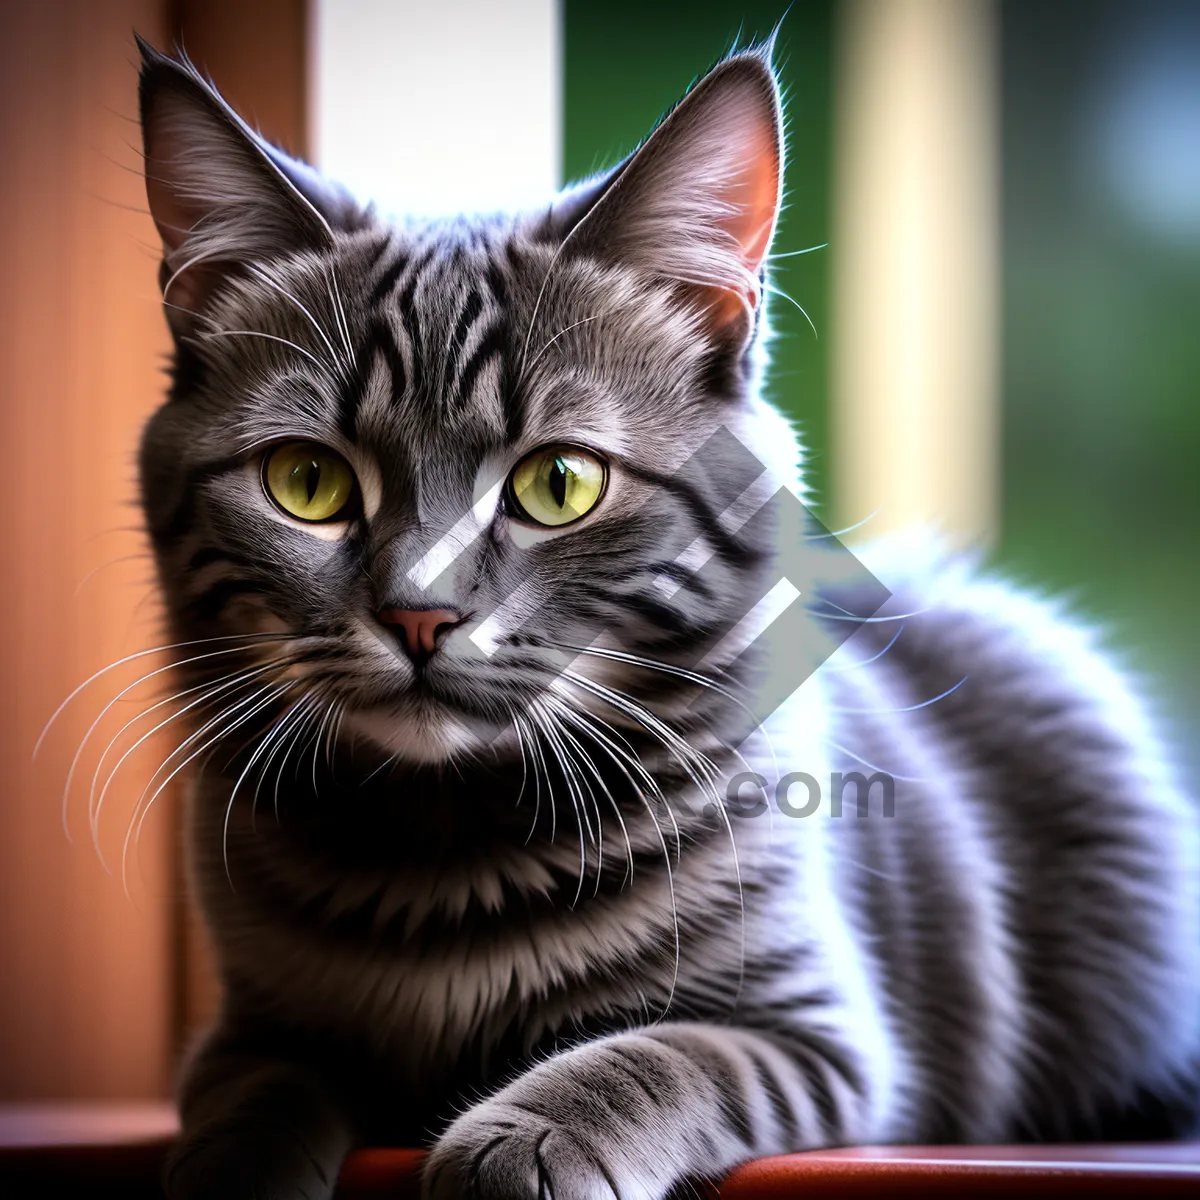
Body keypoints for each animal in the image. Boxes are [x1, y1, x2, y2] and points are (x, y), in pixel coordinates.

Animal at [131, 32, 1200, 1200]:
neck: (445, 844)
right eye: (307, 483)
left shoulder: (810, 1031)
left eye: (558, 484)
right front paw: (232, 1168)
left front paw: (524, 1143)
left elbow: (657, 1057)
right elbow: (250, 1097)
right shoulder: (253, 1028)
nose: (419, 614)